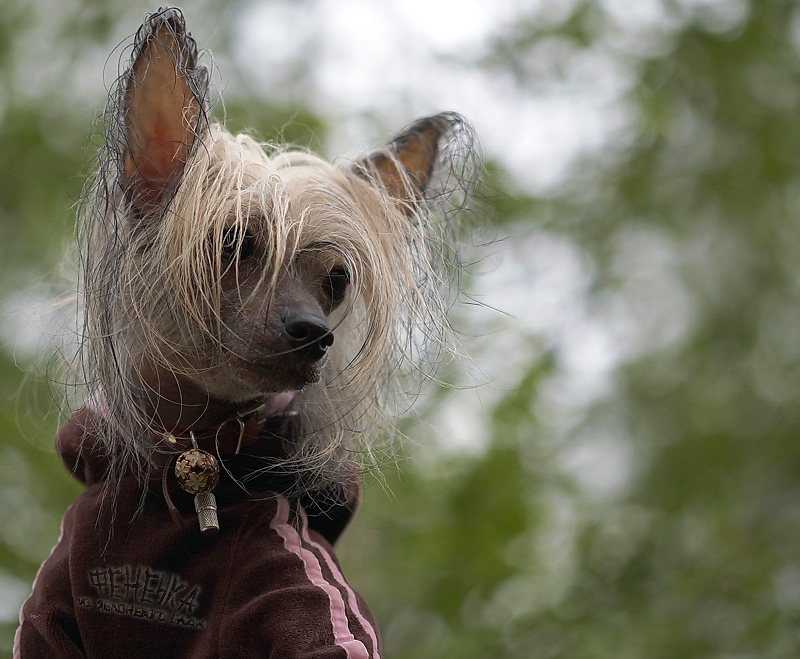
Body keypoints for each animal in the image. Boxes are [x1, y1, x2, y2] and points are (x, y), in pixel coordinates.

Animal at [15, 6, 478, 659]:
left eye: (337, 281)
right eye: (234, 244)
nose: (317, 333)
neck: (190, 455)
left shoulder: (299, 586)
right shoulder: (50, 613)